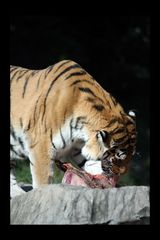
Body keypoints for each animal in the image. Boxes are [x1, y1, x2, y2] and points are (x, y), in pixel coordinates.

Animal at [10, 59, 136, 197]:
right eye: (118, 158)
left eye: (131, 156)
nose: (121, 174)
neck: (81, 131)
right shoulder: (41, 147)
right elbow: (42, 181)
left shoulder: (78, 146)